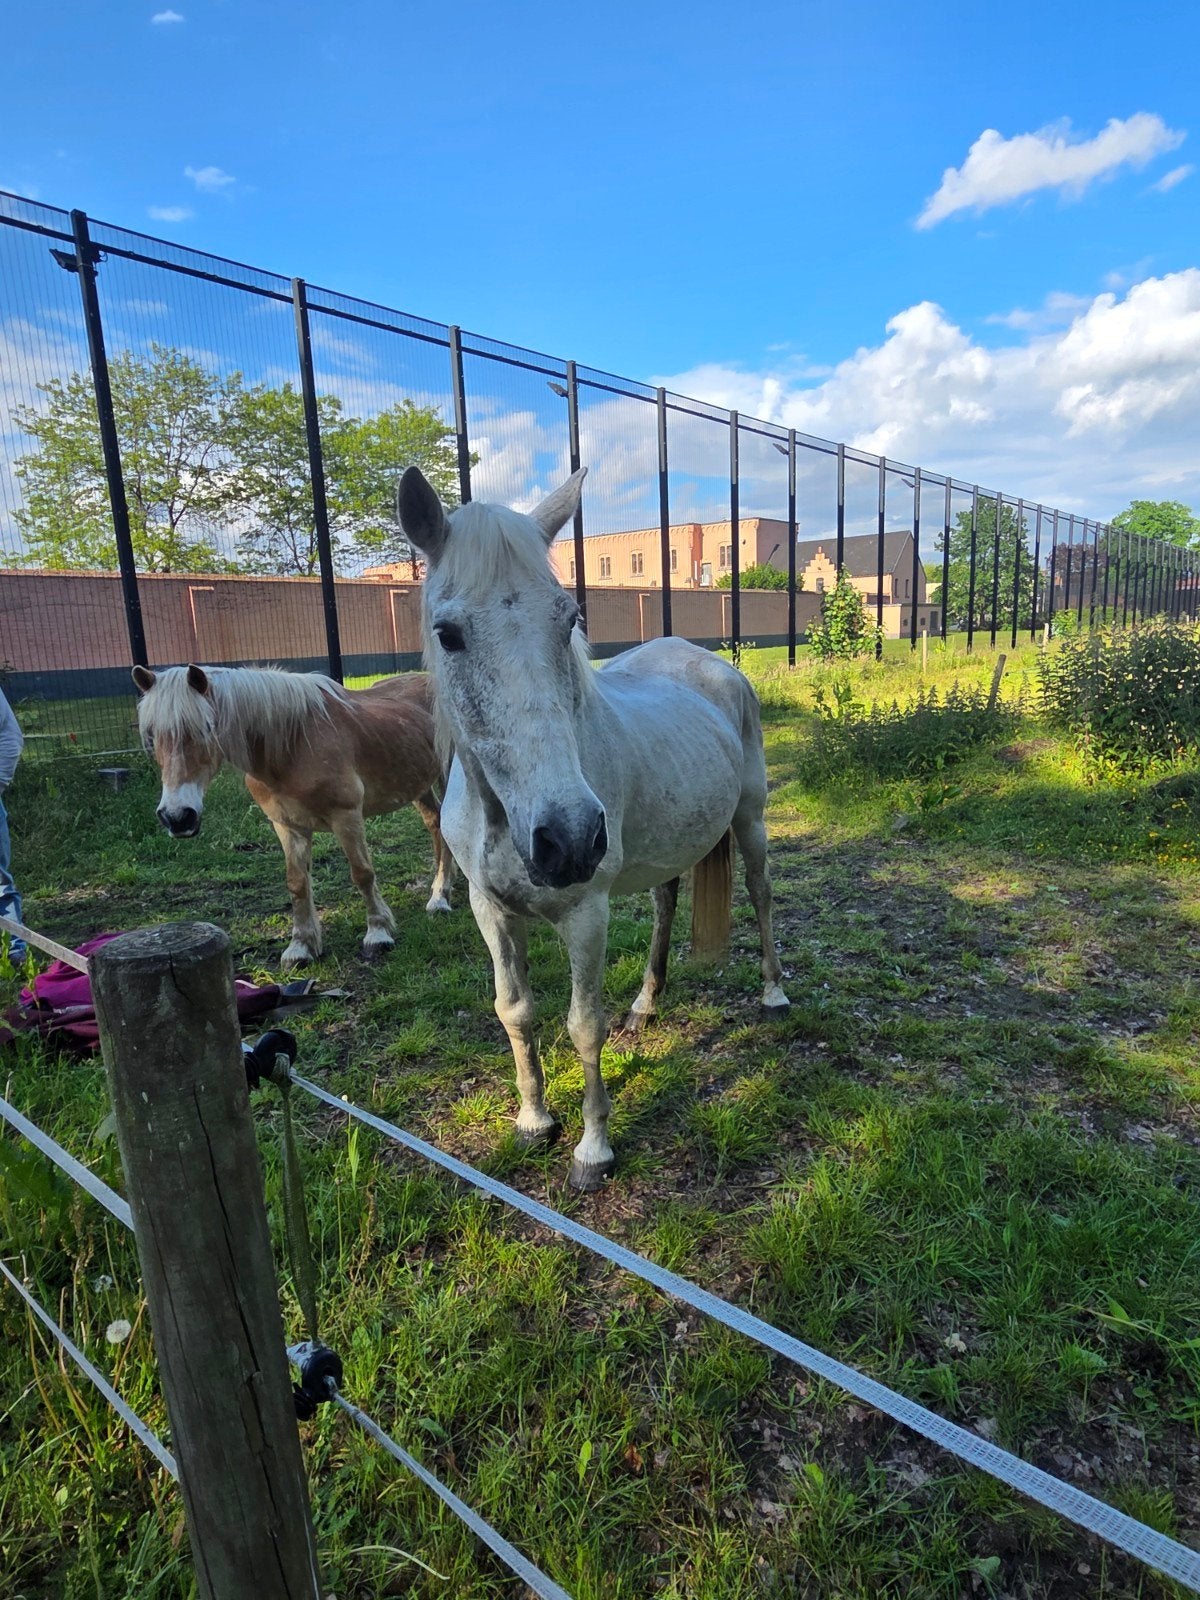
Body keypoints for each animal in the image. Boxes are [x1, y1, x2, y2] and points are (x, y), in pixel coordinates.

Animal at [132, 663, 455, 966]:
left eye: (207, 728)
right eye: (151, 734)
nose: (177, 817)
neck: (294, 744)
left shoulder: (346, 817)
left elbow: (362, 873)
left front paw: (378, 933)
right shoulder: (287, 825)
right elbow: (297, 883)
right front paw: (300, 947)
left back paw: (439, 898)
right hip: (417, 785)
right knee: (435, 823)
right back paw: (442, 888)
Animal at [397, 465, 788, 1191]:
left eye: (569, 619)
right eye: (448, 633)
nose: (569, 839)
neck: (504, 814)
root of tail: (713, 663)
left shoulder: (586, 915)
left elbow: (583, 1026)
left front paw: (592, 1151)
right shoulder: (490, 911)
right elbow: (515, 1012)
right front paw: (533, 1122)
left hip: (750, 820)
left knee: (761, 893)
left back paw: (774, 993)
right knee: (666, 902)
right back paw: (646, 1006)